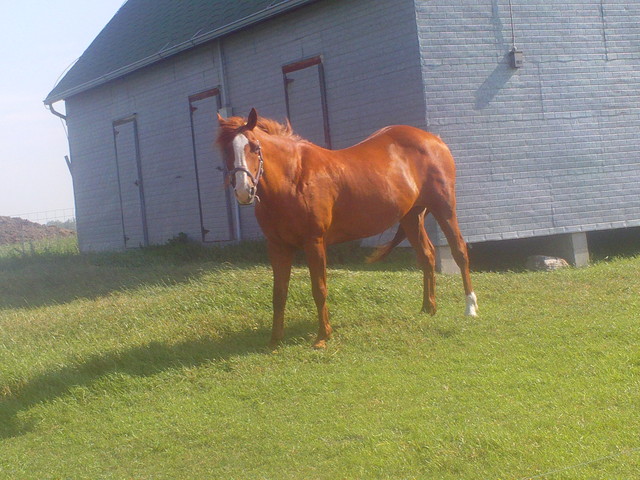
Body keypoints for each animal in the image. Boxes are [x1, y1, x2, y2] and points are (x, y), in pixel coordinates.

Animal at [217, 108, 478, 349]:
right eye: (226, 150)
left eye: (254, 147)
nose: (244, 191)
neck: (294, 179)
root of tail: (434, 139)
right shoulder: (278, 247)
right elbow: (279, 293)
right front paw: (274, 340)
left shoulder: (314, 242)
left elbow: (319, 289)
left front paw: (323, 337)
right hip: (411, 216)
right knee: (427, 256)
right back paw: (428, 308)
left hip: (444, 207)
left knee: (459, 251)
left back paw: (470, 308)